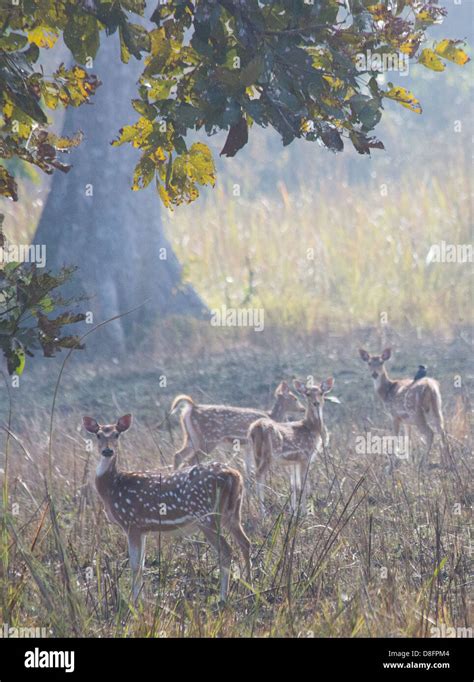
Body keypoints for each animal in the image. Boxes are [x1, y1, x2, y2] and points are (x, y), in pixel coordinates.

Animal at [82, 412, 252, 596]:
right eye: (98, 435)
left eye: (116, 434)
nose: (107, 450)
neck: (112, 486)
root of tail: (234, 476)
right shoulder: (142, 528)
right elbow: (141, 565)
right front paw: (141, 598)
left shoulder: (131, 522)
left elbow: (135, 566)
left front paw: (135, 600)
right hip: (233, 513)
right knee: (245, 543)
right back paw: (249, 588)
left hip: (207, 516)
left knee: (227, 551)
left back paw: (224, 596)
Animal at [170, 380, 304, 470]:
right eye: (295, 398)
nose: (303, 408)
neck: (271, 416)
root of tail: (192, 408)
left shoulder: (247, 446)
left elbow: (248, 468)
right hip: (208, 438)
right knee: (190, 460)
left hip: (192, 437)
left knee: (178, 455)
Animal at [248, 378, 334, 516]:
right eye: (308, 394)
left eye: (321, 393)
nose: (316, 403)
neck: (311, 428)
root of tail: (255, 428)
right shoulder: (305, 456)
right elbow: (303, 485)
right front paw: (304, 513)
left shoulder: (294, 461)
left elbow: (294, 485)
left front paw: (294, 511)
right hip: (268, 454)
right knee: (258, 475)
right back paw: (262, 513)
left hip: (256, 454)